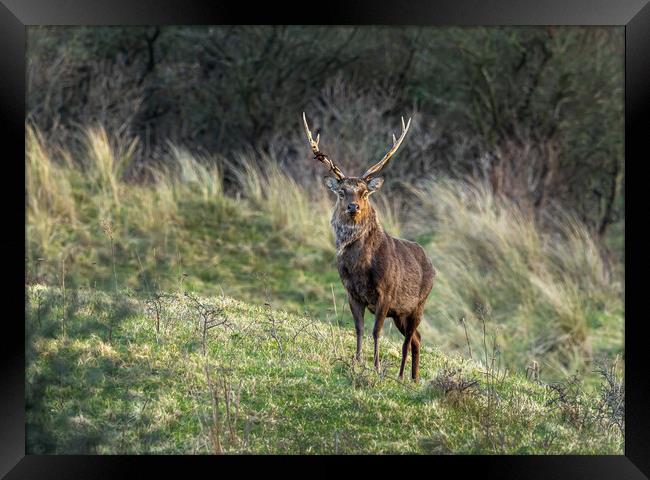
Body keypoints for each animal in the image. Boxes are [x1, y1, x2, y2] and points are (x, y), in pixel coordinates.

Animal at [300, 114, 432, 380]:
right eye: (342, 192)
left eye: (364, 193)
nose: (354, 207)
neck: (360, 269)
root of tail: (432, 265)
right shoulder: (352, 293)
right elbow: (359, 329)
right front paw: (357, 361)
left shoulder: (386, 293)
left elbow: (376, 332)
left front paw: (377, 366)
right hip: (402, 313)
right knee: (417, 339)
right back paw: (414, 378)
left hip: (418, 304)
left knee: (409, 340)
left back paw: (402, 376)